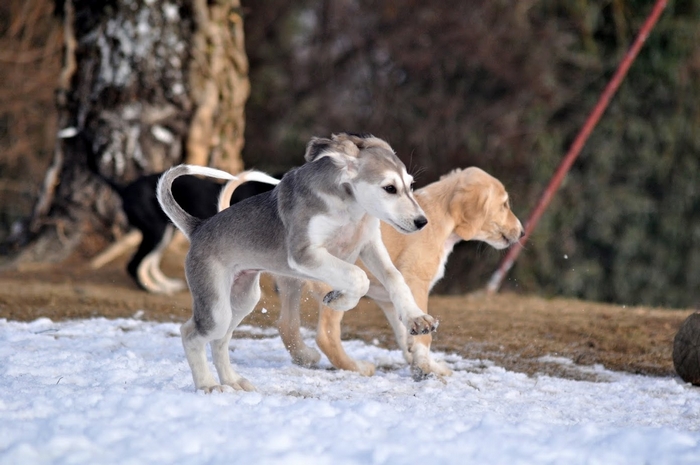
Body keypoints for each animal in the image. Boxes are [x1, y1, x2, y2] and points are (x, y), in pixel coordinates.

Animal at [157, 132, 438, 390]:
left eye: (410, 185)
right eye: (390, 188)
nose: (422, 222)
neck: (350, 208)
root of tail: (198, 228)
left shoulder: (369, 245)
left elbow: (394, 278)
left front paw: (415, 318)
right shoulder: (304, 253)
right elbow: (357, 277)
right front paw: (339, 300)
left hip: (241, 299)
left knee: (220, 340)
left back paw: (233, 382)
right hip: (217, 307)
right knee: (190, 334)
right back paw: (208, 385)